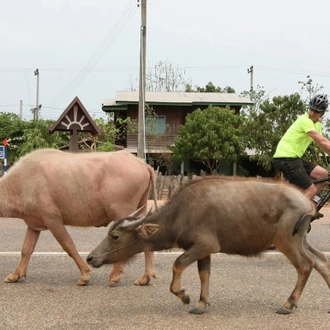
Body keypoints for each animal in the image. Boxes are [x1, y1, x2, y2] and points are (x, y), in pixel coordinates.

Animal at [0, 149, 159, 286]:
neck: (20, 183)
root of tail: (142, 163)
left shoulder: (53, 220)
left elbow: (68, 245)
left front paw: (85, 274)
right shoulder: (33, 224)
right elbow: (26, 249)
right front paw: (15, 275)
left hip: (122, 213)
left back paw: (115, 275)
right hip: (142, 208)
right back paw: (145, 277)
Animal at [86, 177, 330, 316]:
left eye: (115, 236)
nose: (90, 258)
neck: (181, 214)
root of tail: (306, 203)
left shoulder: (204, 245)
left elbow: (178, 263)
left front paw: (184, 296)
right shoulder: (204, 251)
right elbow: (204, 275)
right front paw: (202, 303)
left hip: (286, 241)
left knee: (305, 266)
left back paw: (288, 305)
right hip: (301, 240)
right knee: (321, 260)